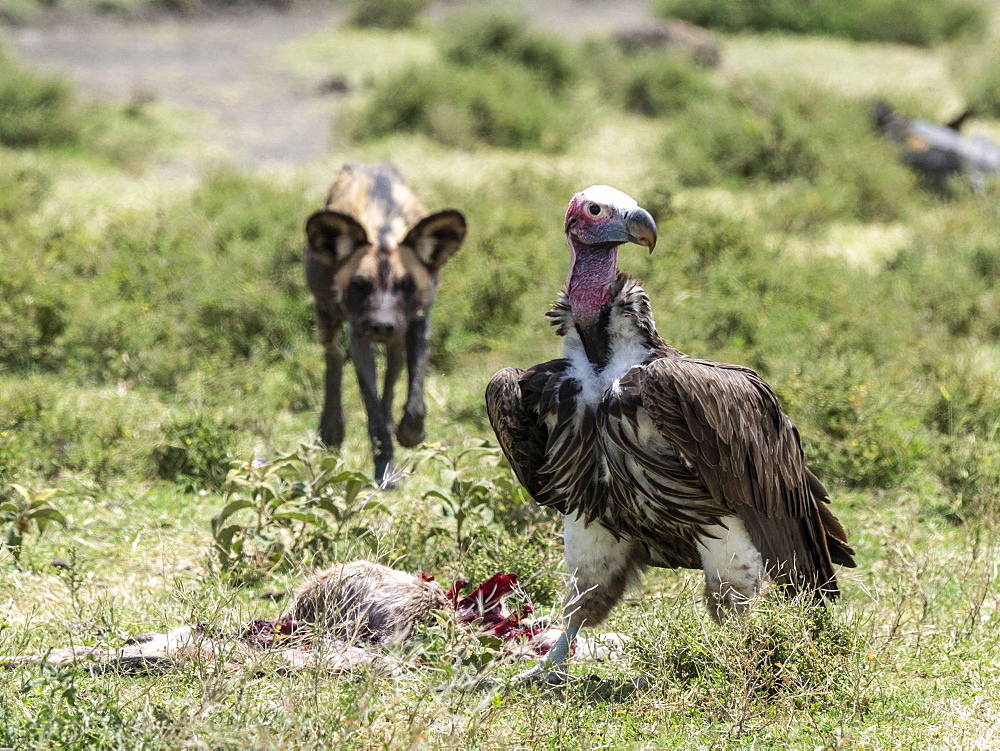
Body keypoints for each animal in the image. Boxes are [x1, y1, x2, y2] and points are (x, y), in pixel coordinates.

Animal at [302, 164, 466, 482]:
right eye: (360, 284)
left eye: (406, 284)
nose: (382, 325)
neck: (383, 232)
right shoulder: (359, 333)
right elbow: (372, 410)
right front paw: (385, 469)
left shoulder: (417, 322)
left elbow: (414, 400)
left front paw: (410, 434)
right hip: (328, 319)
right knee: (335, 356)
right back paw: (331, 430)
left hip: (397, 340)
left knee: (391, 377)